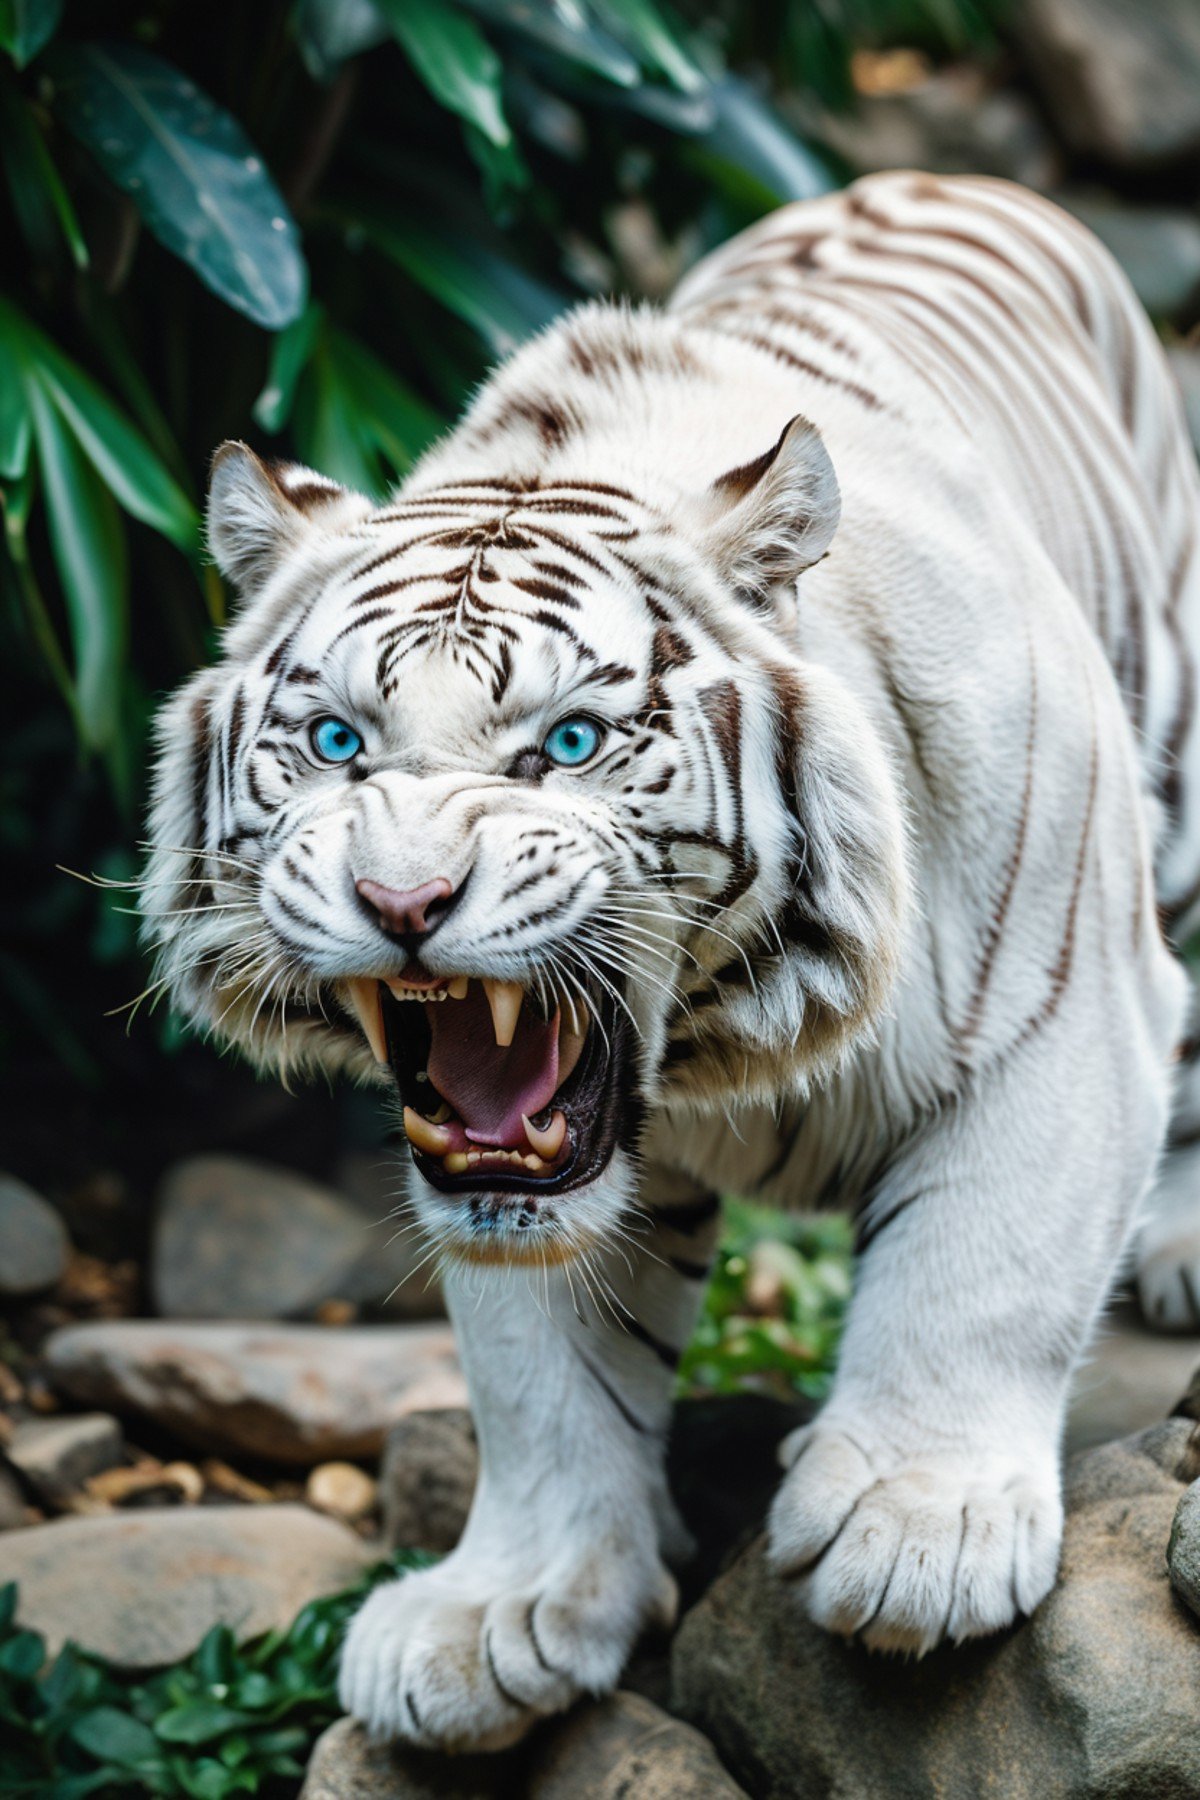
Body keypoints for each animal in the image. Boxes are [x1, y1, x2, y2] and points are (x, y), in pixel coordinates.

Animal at [138, 175, 1200, 1749]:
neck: (729, 1033)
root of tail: (936, 179)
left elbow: (985, 1263)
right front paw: (503, 1613)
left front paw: (916, 1535)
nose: (402, 899)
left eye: (569, 742)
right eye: (336, 743)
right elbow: (537, 1372)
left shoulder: (1066, 1008)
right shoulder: (499, 1179)